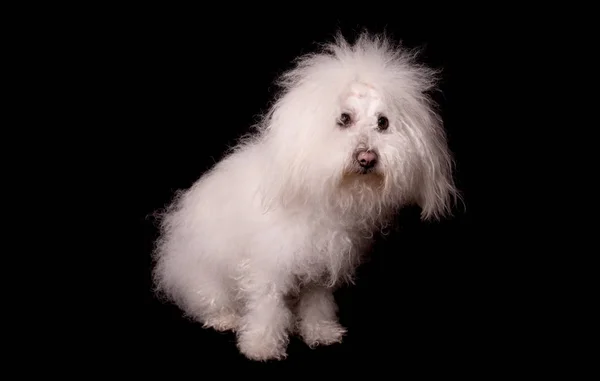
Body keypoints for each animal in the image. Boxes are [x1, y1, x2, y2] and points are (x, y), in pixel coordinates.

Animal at [151, 31, 460, 360]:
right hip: (204, 278)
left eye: (383, 122)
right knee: (206, 300)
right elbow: (267, 308)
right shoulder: (268, 266)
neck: (322, 197)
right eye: (344, 119)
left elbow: (317, 305)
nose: (367, 158)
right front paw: (262, 345)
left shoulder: (320, 269)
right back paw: (224, 318)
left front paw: (320, 332)